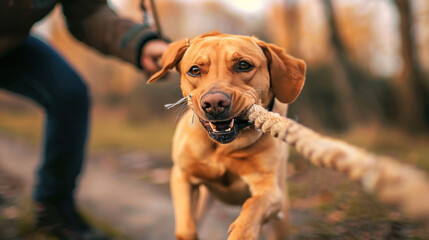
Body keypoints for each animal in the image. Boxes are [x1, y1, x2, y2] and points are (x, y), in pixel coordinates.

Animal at [147, 32, 304, 240]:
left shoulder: (270, 191)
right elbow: (185, 227)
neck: (223, 148)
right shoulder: (182, 175)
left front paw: (242, 231)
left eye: (244, 65)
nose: (214, 103)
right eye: (194, 70)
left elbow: (253, 205)